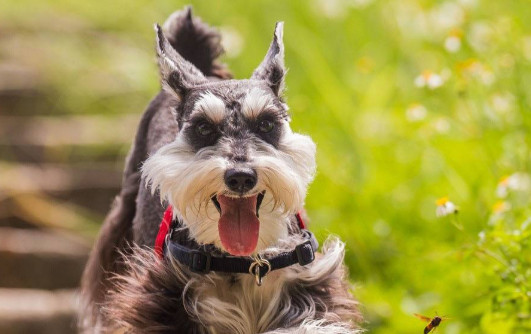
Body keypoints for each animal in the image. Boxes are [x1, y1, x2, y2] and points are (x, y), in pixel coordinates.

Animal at [79, 5, 364, 334]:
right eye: (203, 127)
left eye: (266, 123)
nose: (240, 177)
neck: (245, 262)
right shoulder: (162, 301)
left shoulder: (311, 288)